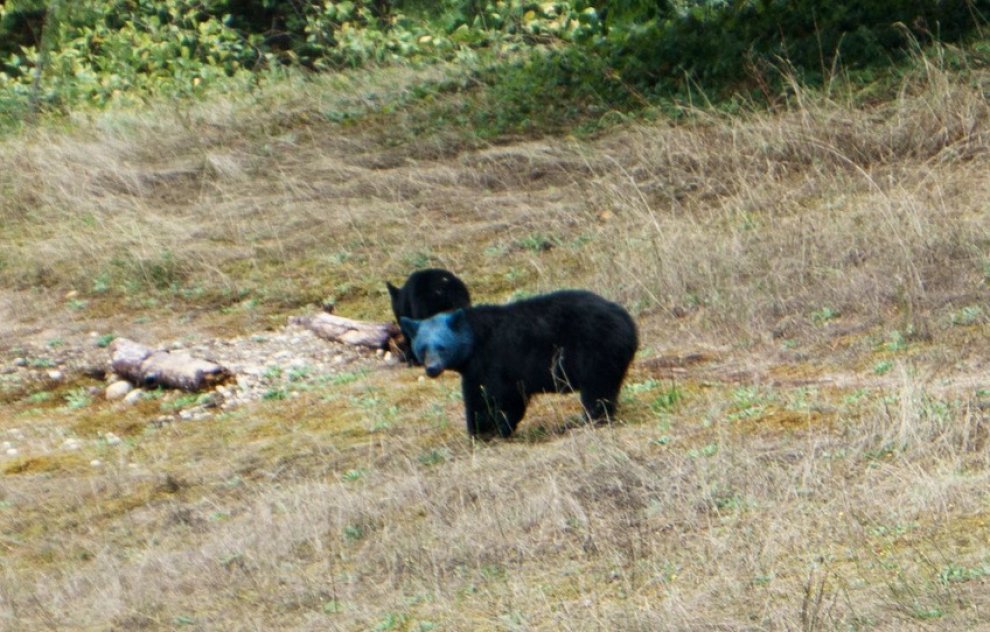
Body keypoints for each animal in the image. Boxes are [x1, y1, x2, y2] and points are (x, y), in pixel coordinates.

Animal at [401, 289, 638, 438]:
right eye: (422, 348)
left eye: (442, 347)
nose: (432, 369)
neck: (475, 339)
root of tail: (628, 322)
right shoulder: (479, 368)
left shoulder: (493, 360)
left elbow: (493, 397)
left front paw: (487, 430)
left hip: (596, 351)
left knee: (597, 391)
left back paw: (586, 420)